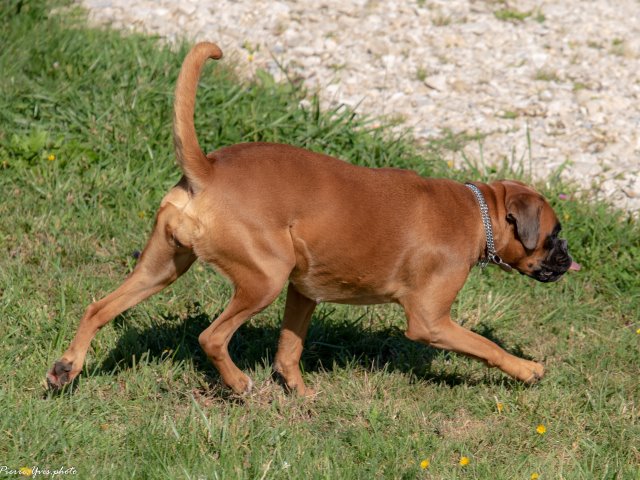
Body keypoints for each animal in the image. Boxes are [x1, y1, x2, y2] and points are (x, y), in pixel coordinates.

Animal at [47, 42, 578, 396]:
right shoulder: (431, 322)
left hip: (161, 269)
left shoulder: (303, 292)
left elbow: (289, 349)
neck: (477, 210)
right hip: (262, 278)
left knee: (98, 308)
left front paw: (299, 395)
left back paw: (67, 367)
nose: (569, 261)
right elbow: (486, 347)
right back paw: (239, 384)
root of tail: (208, 170)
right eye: (555, 235)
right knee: (211, 337)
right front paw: (527, 369)